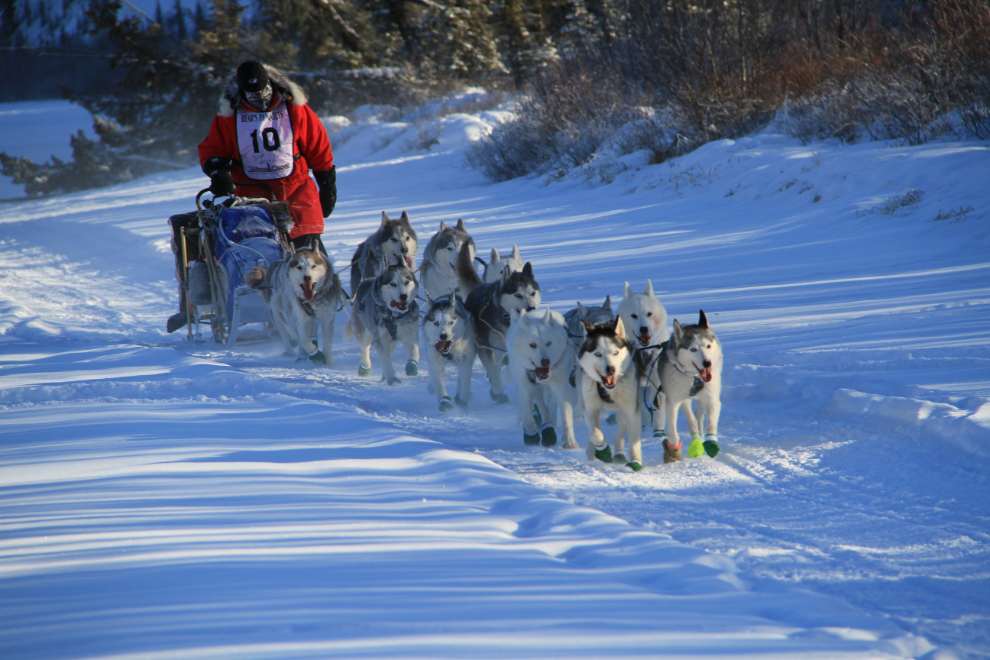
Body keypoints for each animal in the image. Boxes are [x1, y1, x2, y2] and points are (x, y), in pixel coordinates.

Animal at [344, 256, 422, 384]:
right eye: (392, 284)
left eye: (406, 282)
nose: (404, 296)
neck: (394, 315)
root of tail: (366, 280)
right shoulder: (381, 340)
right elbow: (386, 361)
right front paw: (392, 378)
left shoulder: (410, 335)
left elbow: (415, 352)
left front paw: (412, 366)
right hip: (365, 332)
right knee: (365, 348)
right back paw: (365, 367)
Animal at [508, 308, 576, 448]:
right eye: (532, 345)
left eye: (549, 343)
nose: (545, 361)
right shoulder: (524, 387)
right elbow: (528, 414)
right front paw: (531, 435)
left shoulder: (560, 387)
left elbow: (566, 414)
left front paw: (569, 441)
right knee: (538, 403)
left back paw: (549, 427)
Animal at [576, 318, 648, 472]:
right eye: (598, 354)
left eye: (615, 352)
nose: (611, 369)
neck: (608, 388)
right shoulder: (590, 407)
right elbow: (595, 434)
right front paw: (603, 450)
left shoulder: (631, 408)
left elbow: (634, 438)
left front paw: (635, 461)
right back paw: (591, 450)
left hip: (622, 409)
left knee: (620, 430)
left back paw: (619, 453)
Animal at [656, 310, 724, 462]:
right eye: (693, 349)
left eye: (708, 346)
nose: (707, 363)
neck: (695, 377)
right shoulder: (673, 401)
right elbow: (674, 429)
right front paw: (674, 449)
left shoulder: (711, 398)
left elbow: (711, 423)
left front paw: (711, 442)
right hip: (682, 398)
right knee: (691, 418)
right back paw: (696, 442)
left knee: (698, 415)